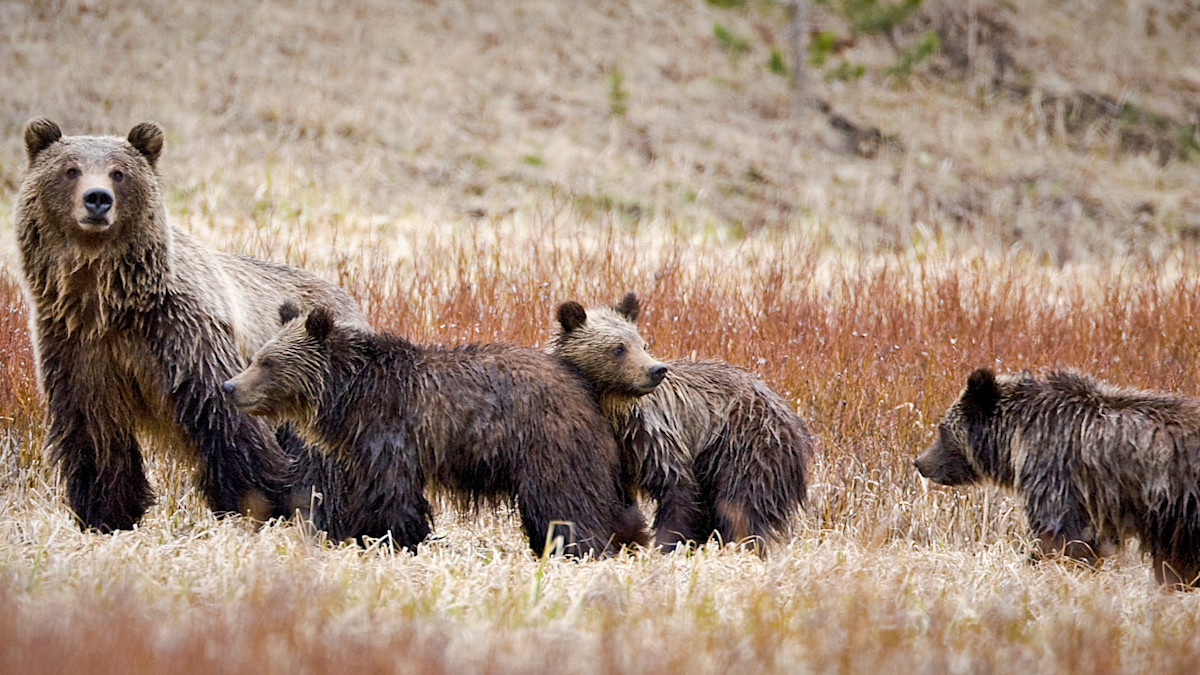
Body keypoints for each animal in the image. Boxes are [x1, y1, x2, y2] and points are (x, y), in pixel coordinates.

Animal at [15, 117, 367, 535]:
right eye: (70, 170)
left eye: (118, 172)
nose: (97, 199)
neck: (109, 301)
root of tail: (352, 302)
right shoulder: (78, 346)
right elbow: (95, 430)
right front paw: (106, 513)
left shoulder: (186, 336)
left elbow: (226, 421)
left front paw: (260, 502)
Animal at [221, 303, 650, 556]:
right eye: (259, 356)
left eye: (268, 362)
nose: (230, 386)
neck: (349, 394)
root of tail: (582, 383)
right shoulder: (359, 447)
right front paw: (353, 535)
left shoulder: (391, 430)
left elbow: (393, 495)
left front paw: (394, 538)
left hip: (546, 440)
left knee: (565, 500)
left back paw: (581, 546)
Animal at [548, 293, 813, 552]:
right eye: (618, 348)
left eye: (643, 344)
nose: (656, 370)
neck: (612, 406)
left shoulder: (652, 433)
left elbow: (676, 487)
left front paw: (667, 543)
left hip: (745, 444)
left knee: (742, 500)